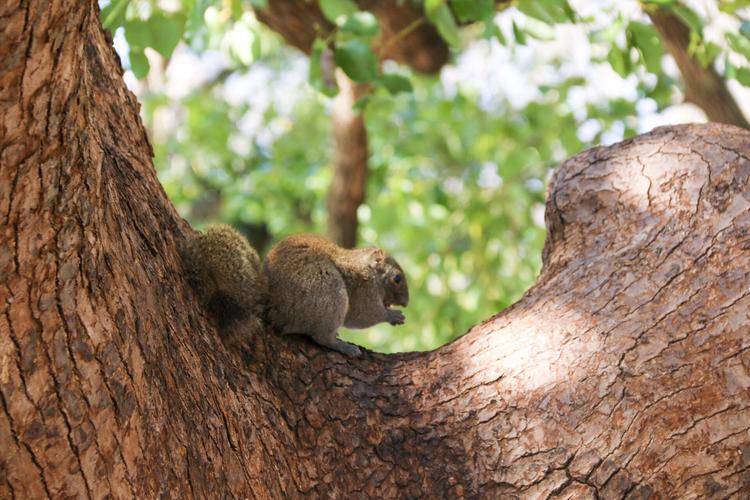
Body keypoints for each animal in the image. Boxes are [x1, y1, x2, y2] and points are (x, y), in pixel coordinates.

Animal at [181, 225, 412, 354]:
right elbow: (364, 315)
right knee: (321, 337)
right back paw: (342, 346)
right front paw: (393, 315)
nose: (406, 302)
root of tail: (275, 309)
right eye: (397, 278)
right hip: (327, 291)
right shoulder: (363, 290)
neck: (366, 269)